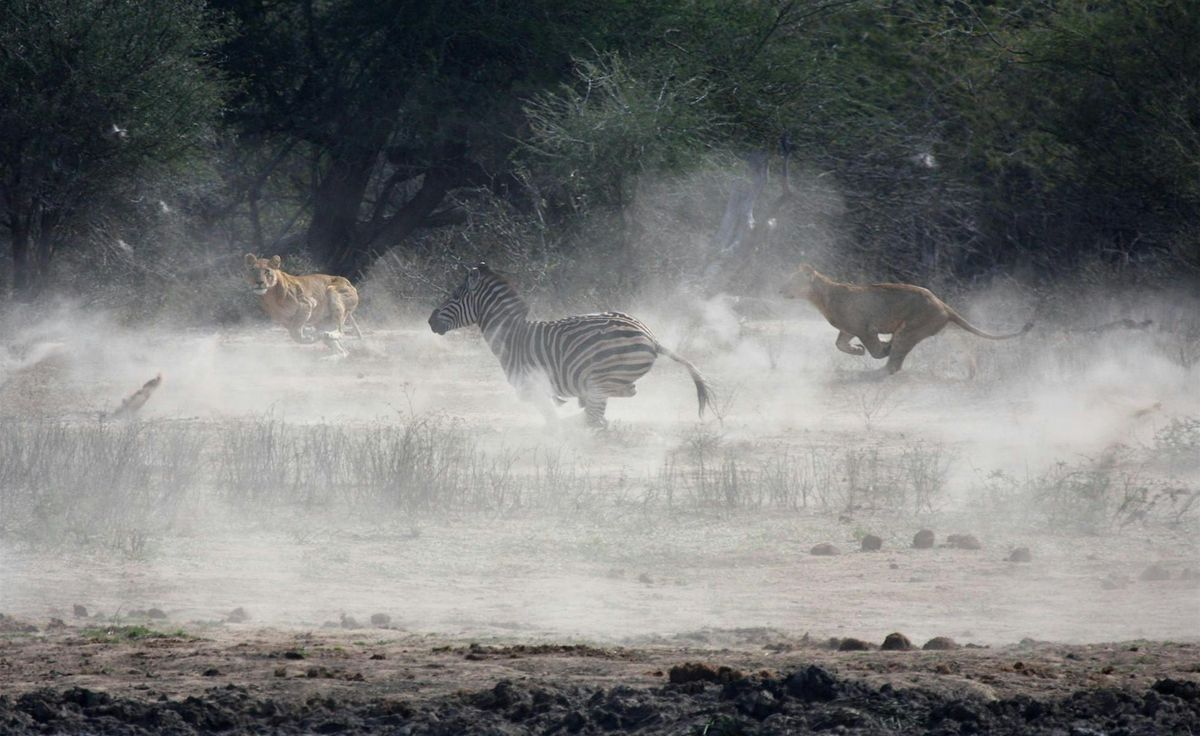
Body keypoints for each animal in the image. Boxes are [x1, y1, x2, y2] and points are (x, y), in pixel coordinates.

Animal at [432, 262, 710, 425]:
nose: (430, 321)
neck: (512, 336)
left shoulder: (532, 386)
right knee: (616, 398)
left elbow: (551, 419)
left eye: (454, 296)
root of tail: (651, 337)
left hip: (601, 375)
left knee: (598, 413)